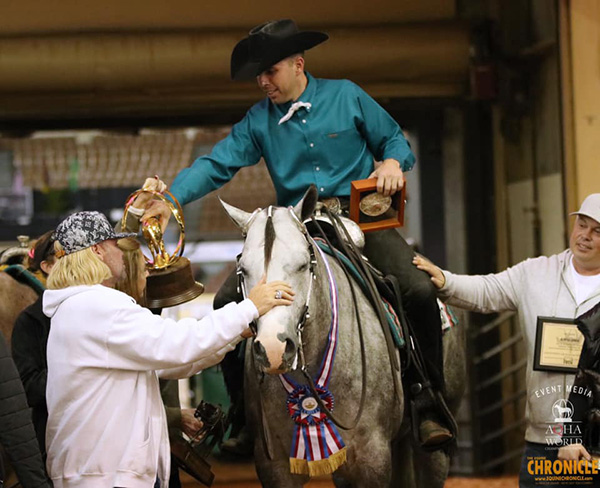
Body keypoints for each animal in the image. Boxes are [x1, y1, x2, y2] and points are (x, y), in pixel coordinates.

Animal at [223, 188, 466, 488]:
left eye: (303, 265)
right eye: (243, 269)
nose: (273, 348)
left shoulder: (371, 460)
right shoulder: (275, 467)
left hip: (433, 450)